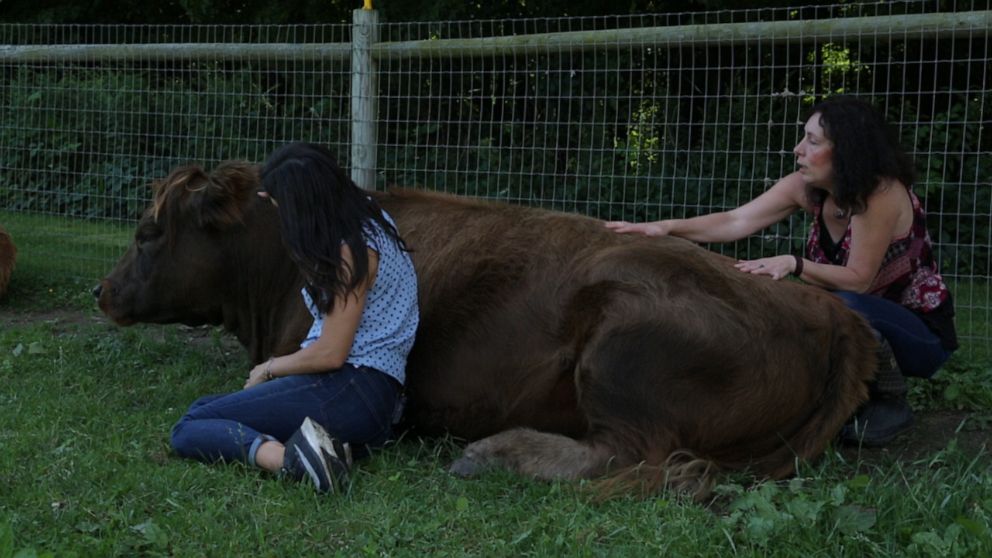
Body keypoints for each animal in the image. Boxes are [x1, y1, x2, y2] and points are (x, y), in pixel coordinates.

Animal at [95, 161, 876, 498]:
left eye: (148, 231)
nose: (102, 291)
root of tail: (828, 313)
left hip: (620, 354)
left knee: (640, 460)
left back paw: (492, 454)